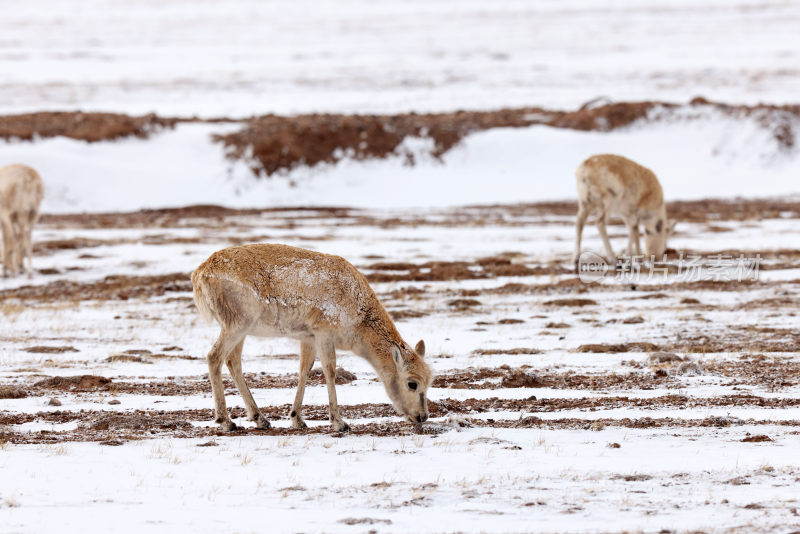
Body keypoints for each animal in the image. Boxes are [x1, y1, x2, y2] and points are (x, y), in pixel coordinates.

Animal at [191, 245, 434, 434]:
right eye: (412, 383)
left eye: (429, 381)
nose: (422, 416)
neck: (359, 319)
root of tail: (199, 273)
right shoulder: (324, 332)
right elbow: (330, 370)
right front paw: (339, 422)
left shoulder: (307, 337)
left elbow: (304, 370)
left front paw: (296, 418)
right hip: (237, 324)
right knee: (214, 356)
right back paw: (226, 421)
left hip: (240, 328)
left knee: (233, 361)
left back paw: (260, 418)